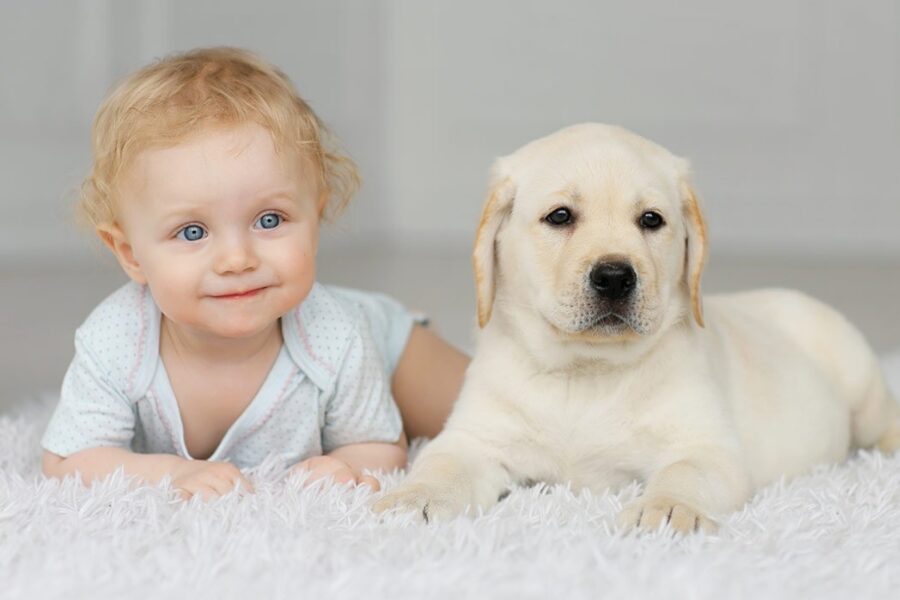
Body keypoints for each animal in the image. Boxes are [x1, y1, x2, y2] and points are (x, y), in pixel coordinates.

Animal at [374, 123, 900, 536]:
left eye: (651, 220)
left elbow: (685, 474)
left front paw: (667, 510)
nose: (614, 276)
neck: (586, 371)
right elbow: (441, 463)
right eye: (560, 216)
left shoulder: (707, 449)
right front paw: (413, 497)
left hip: (858, 379)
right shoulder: (474, 438)